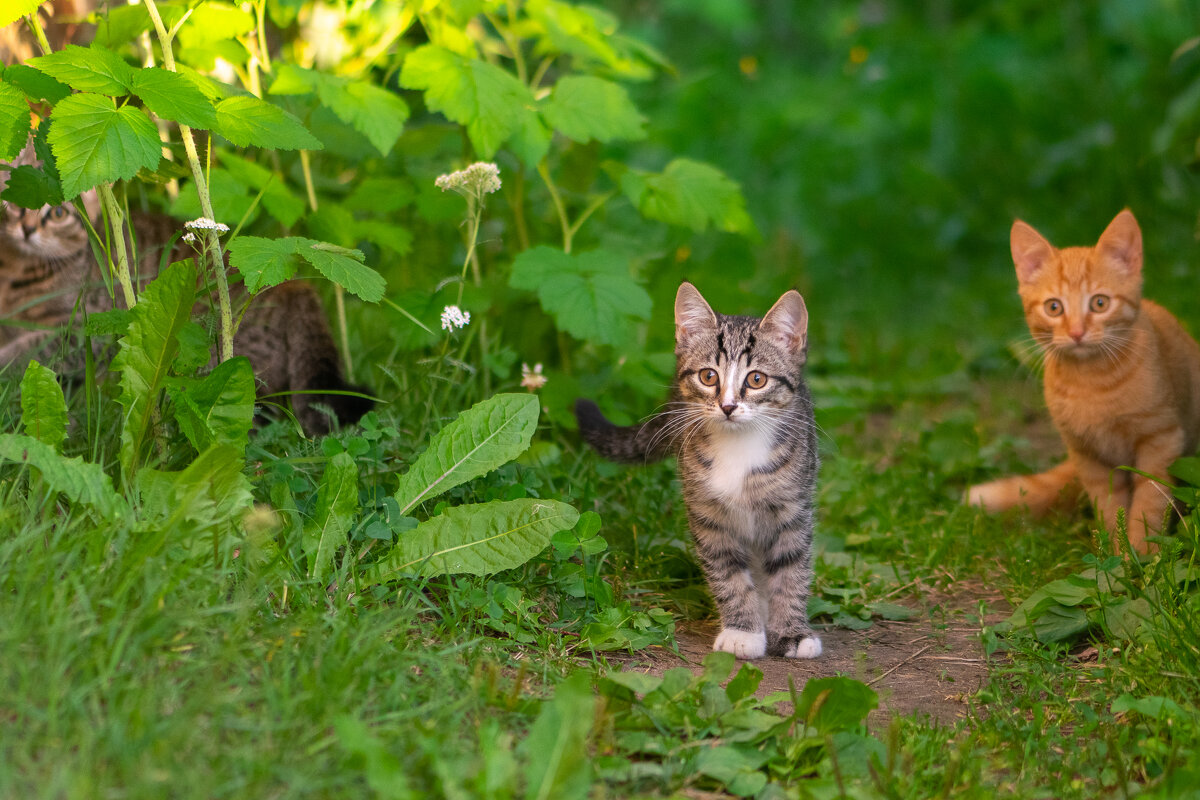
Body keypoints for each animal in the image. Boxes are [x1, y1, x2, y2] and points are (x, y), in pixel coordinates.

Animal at [964, 209, 1200, 554]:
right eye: (1054, 307)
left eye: (1099, 303)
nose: (1076, 332)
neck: (1092, 383)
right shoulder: (1087, 456)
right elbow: (1109, 506)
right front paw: (1114, 552)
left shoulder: (1162, 440)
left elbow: (1149, 501)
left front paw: (1141, 553)